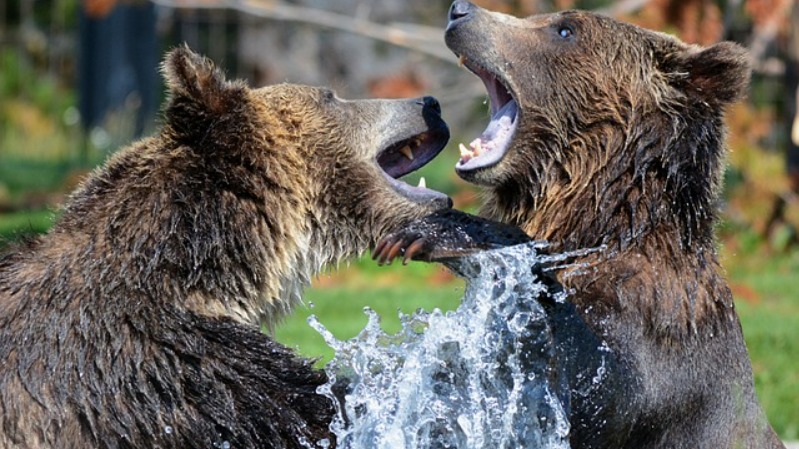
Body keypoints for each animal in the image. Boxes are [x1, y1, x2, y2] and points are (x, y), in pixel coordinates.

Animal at [378, 1, 784, 446]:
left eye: (564, 30)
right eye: (544, 18)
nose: (460, 11)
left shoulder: (658, 336)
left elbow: (595, 381)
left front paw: (431, 232)